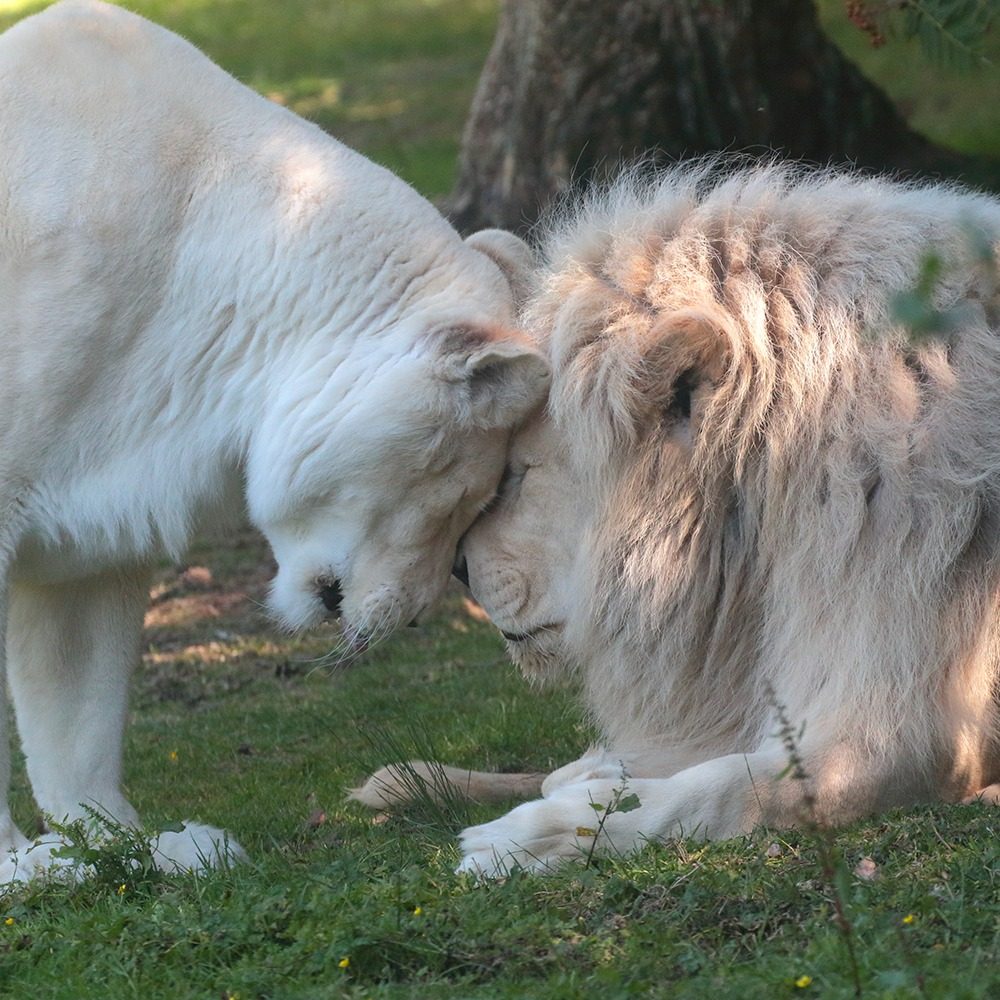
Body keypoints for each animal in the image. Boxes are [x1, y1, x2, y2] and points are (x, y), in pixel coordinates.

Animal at [0, 0, 548, 882]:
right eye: (463, 491)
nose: (412, 616)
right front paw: (25, 866)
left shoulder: (93, 477)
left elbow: (76, 674)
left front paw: (144, 845)